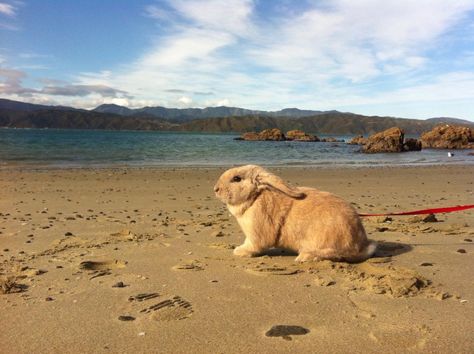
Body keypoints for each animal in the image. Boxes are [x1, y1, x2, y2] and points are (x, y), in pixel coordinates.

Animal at [213, 165, 376, 262]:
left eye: (237, 178)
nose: (216, 189)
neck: (254, 197)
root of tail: (360, 244)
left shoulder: (256, 234)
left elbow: (254, 246)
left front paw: (239, 251)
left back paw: (304, 256)